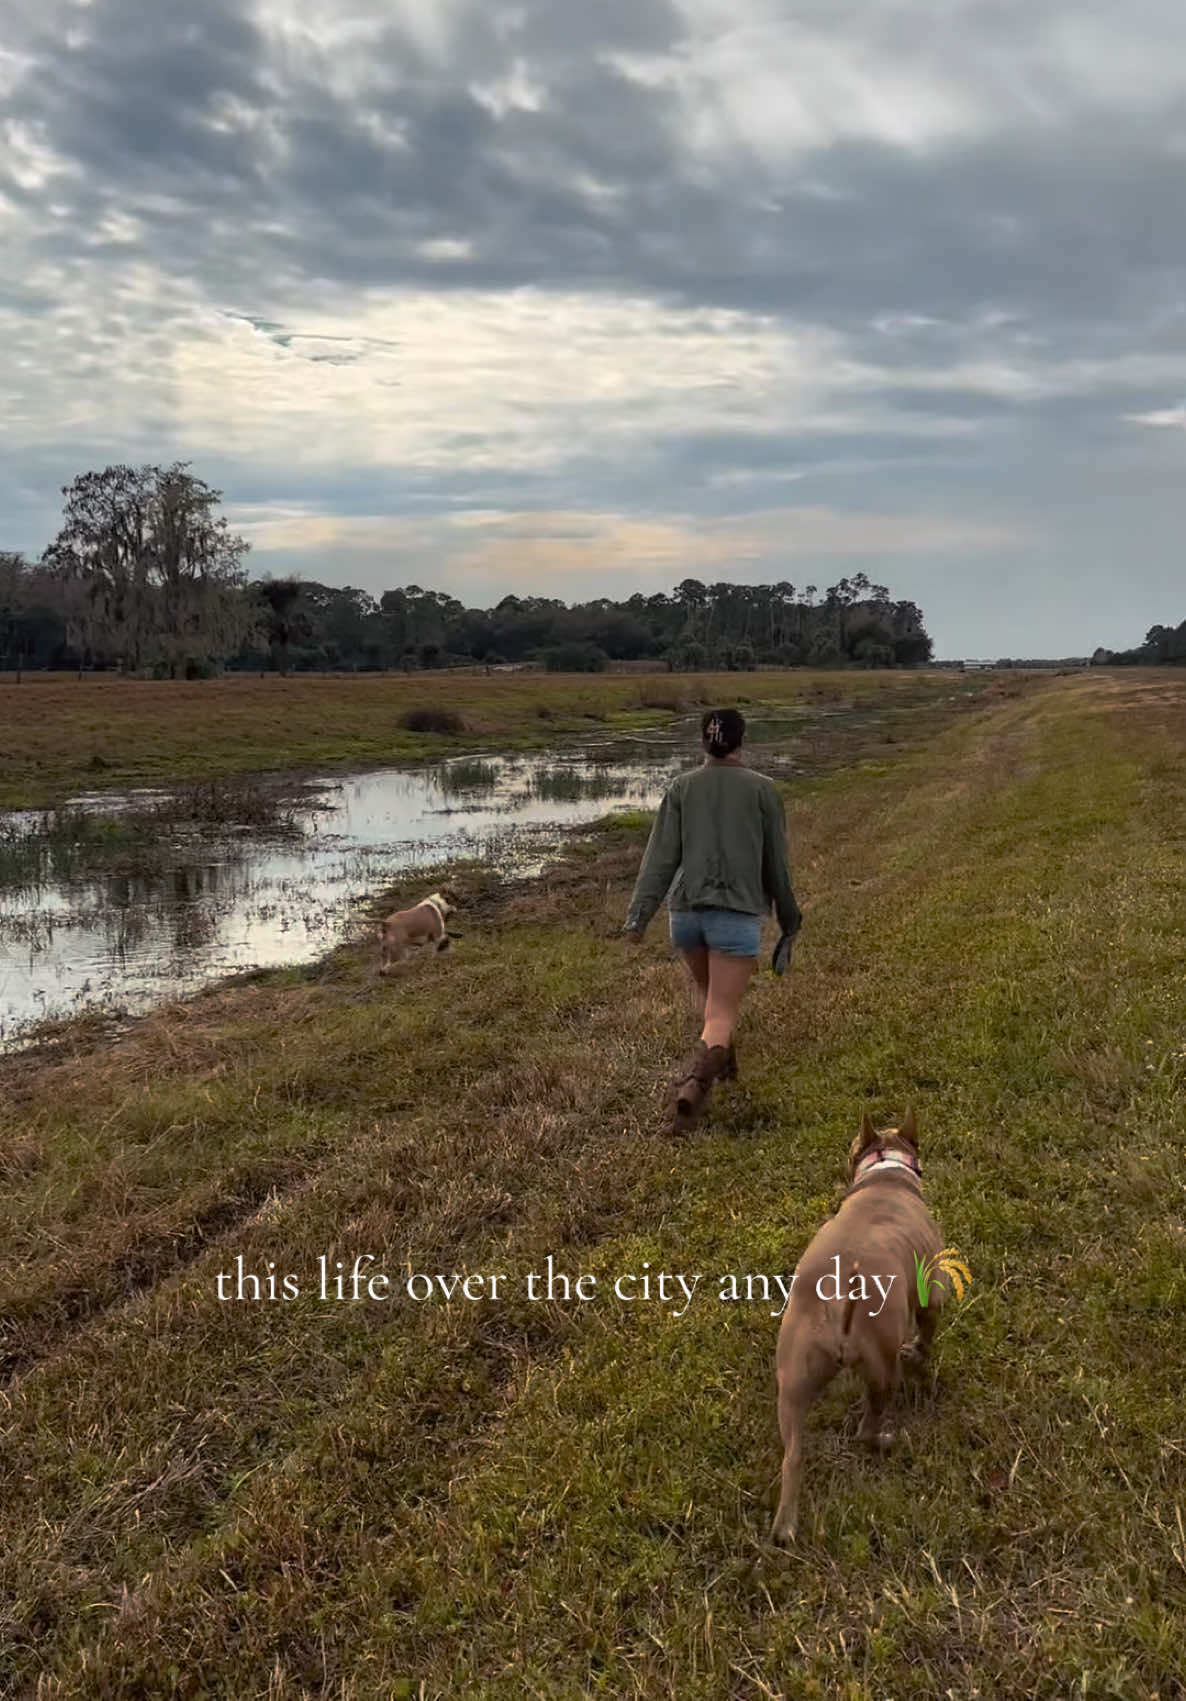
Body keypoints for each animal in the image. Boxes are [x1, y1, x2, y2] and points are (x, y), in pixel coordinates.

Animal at [769, 1109, 946, 1551]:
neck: (886, 1174)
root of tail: (840, 1293)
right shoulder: (931, 1294)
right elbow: (927, 1330)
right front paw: (920, 1352)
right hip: (882, 1369)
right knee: (868, 1426)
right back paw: (884, 1440)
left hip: (793, 1378)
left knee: (793, 1454)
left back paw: (785, 1526)